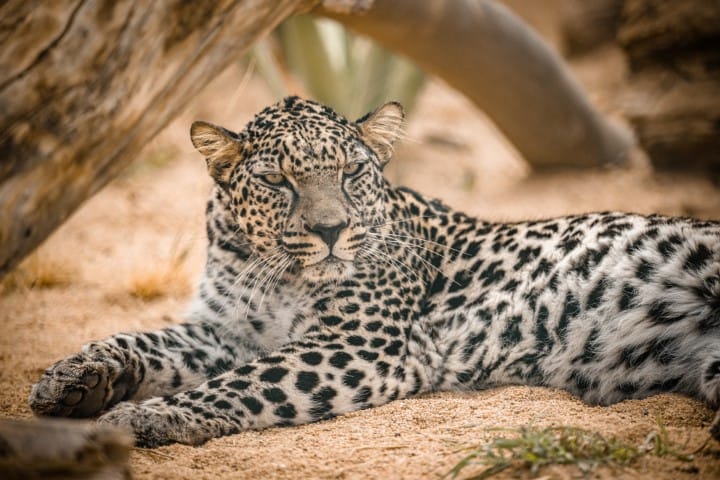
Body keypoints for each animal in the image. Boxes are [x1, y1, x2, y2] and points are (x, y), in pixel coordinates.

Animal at [28, 96, 720, 446]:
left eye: (352, 172)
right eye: (277, 181)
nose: (331, 231)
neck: (266, 269)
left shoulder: (358, 345)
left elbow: (243, 383)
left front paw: (140, 418)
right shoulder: (225, 330)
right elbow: (145, 337)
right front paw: (73, 377)